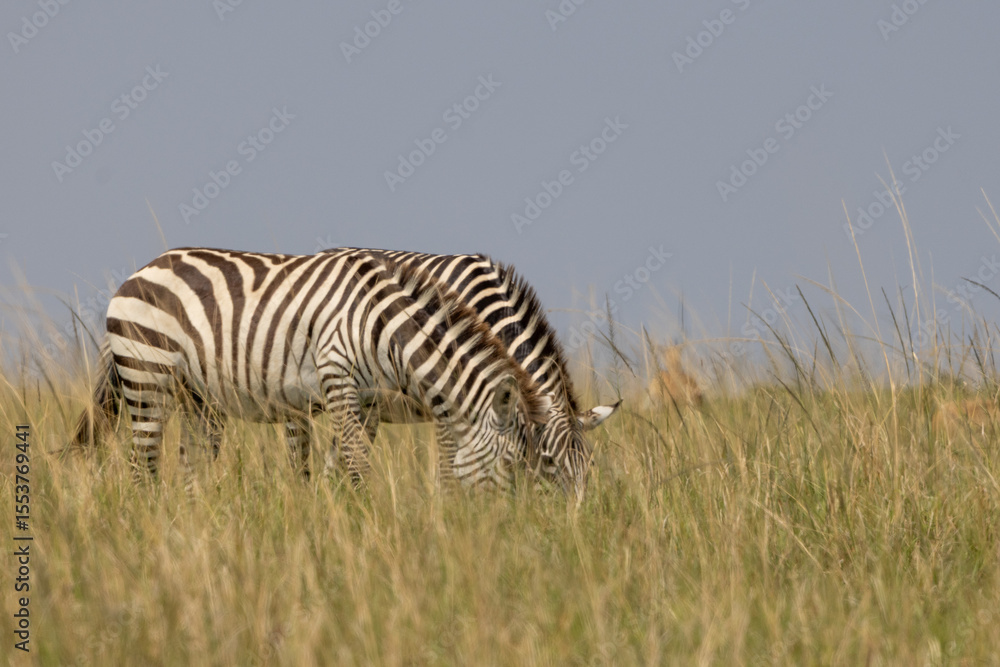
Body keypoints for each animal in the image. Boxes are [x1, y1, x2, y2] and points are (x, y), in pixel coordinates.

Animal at [71, 247, 552, 491]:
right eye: (512, 464)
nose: (505, 529)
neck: (385, 329)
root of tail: (138, 272)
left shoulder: (368, 399)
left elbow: (339, 463)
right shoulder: (339, 375)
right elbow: (357, 464)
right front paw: (364, 527)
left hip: (197, 395)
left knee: (191, 465)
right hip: (146, 376)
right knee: (143, 467)